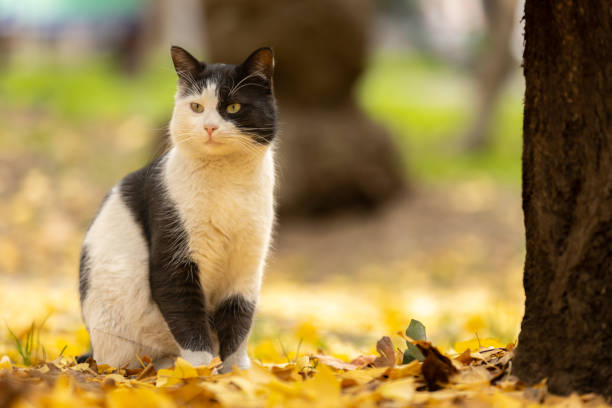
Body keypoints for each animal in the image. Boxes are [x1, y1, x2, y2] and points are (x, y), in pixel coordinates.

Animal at [78, 45, 278, 372]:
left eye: (233, 107)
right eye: (196, 107)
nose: (209, 127)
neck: (226, 180)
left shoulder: (246, 264)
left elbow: (239, 320)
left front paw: (237, 373)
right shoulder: (173, 260)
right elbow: (187, 315)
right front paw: (199, 372)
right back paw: (166, 368)